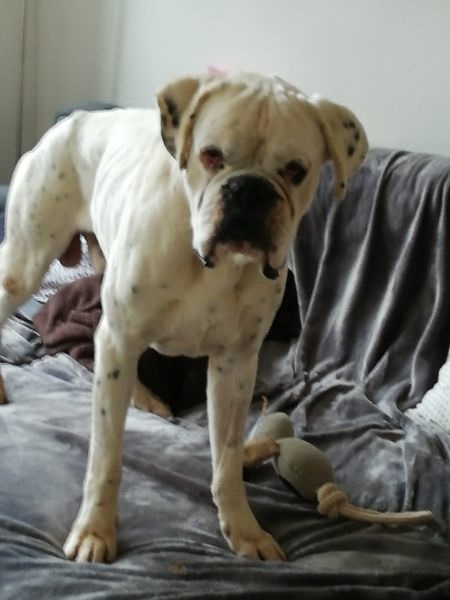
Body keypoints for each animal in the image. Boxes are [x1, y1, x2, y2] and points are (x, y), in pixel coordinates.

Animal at [0, 72, 367, 562]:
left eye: (296, 170)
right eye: (211, 155)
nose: (250, 189)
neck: (213, 266)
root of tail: (73, 119)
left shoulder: (235, 367)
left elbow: (227, 460)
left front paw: (243, 528)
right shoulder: (123, 337)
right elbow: (106, 454)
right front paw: (95, 529)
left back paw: (142, 395)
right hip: (24, 267)